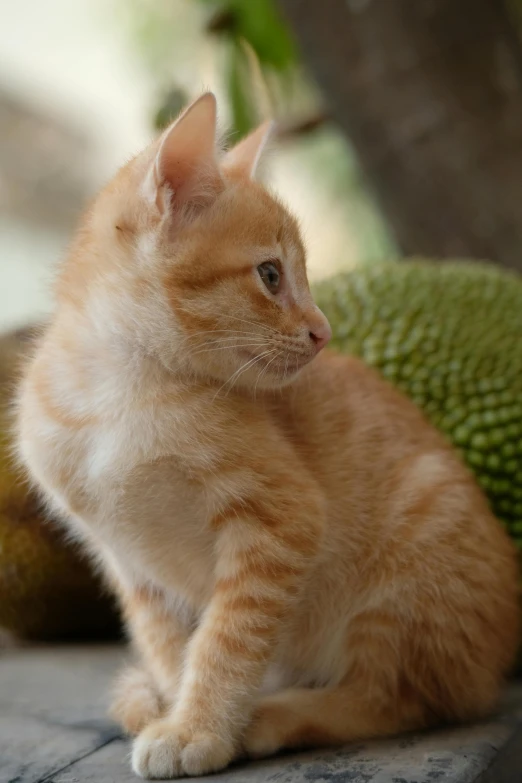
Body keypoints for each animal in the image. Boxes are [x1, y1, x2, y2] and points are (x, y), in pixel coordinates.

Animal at [16, 93, 516, 776]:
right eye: (272, 275)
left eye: (295, 275)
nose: (323, 332)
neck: (116, 396)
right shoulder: (130, 561)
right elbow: (170, 644)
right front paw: (173, 701)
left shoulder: (284, 522)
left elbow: (227, 639)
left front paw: (198, 727)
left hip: (414, 554)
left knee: (396, 697)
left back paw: (276, 715)